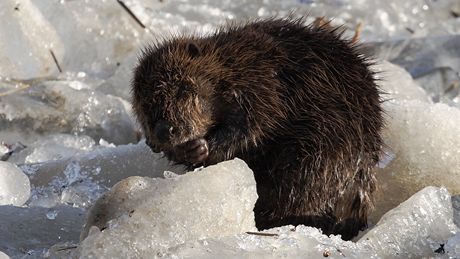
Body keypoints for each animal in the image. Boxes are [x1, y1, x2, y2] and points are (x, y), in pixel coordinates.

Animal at [131, 17, 382, 242]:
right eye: (144, 105)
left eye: (183, 89)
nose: (166, 130)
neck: (230, 63)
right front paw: (184, 150)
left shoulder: (262, 82)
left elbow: (253, 123)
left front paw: (203, 147)